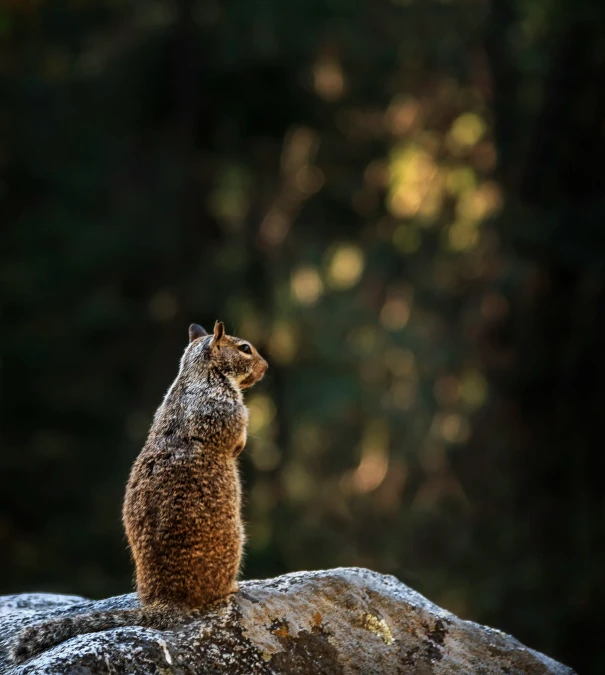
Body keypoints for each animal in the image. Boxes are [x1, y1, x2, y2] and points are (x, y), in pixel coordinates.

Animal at [10, 320, 266, 664]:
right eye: (245, 348)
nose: (265, 367)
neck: (195, 374)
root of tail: (167, 600)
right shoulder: (227, 408)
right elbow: (237, 435)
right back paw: (233, 588)